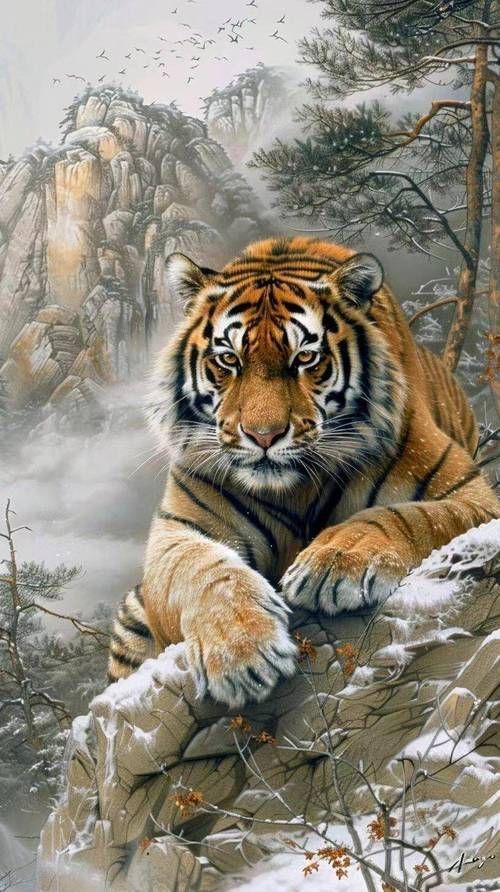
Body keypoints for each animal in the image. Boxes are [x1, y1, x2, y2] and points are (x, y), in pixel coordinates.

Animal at [108, 236, 499, 708]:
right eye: (229, 359)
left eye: (305, 358)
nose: (263, 435)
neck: (293, 489)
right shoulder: (178, 529)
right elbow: (203, 571)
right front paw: (241, 652)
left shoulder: (470, 494)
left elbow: (404, 515)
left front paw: (335, 561)